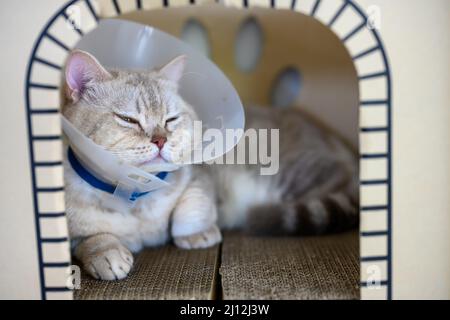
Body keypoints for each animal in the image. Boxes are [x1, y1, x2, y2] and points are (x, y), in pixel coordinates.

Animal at [63, 49, 358, 280]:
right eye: (128, 119)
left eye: (171, 119)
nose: (161, 139)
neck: (135, 195)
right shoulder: (72, 230)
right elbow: (91, 238)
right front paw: (107, 253)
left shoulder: (200, 175)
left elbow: (192, 205)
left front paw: (197, 234)